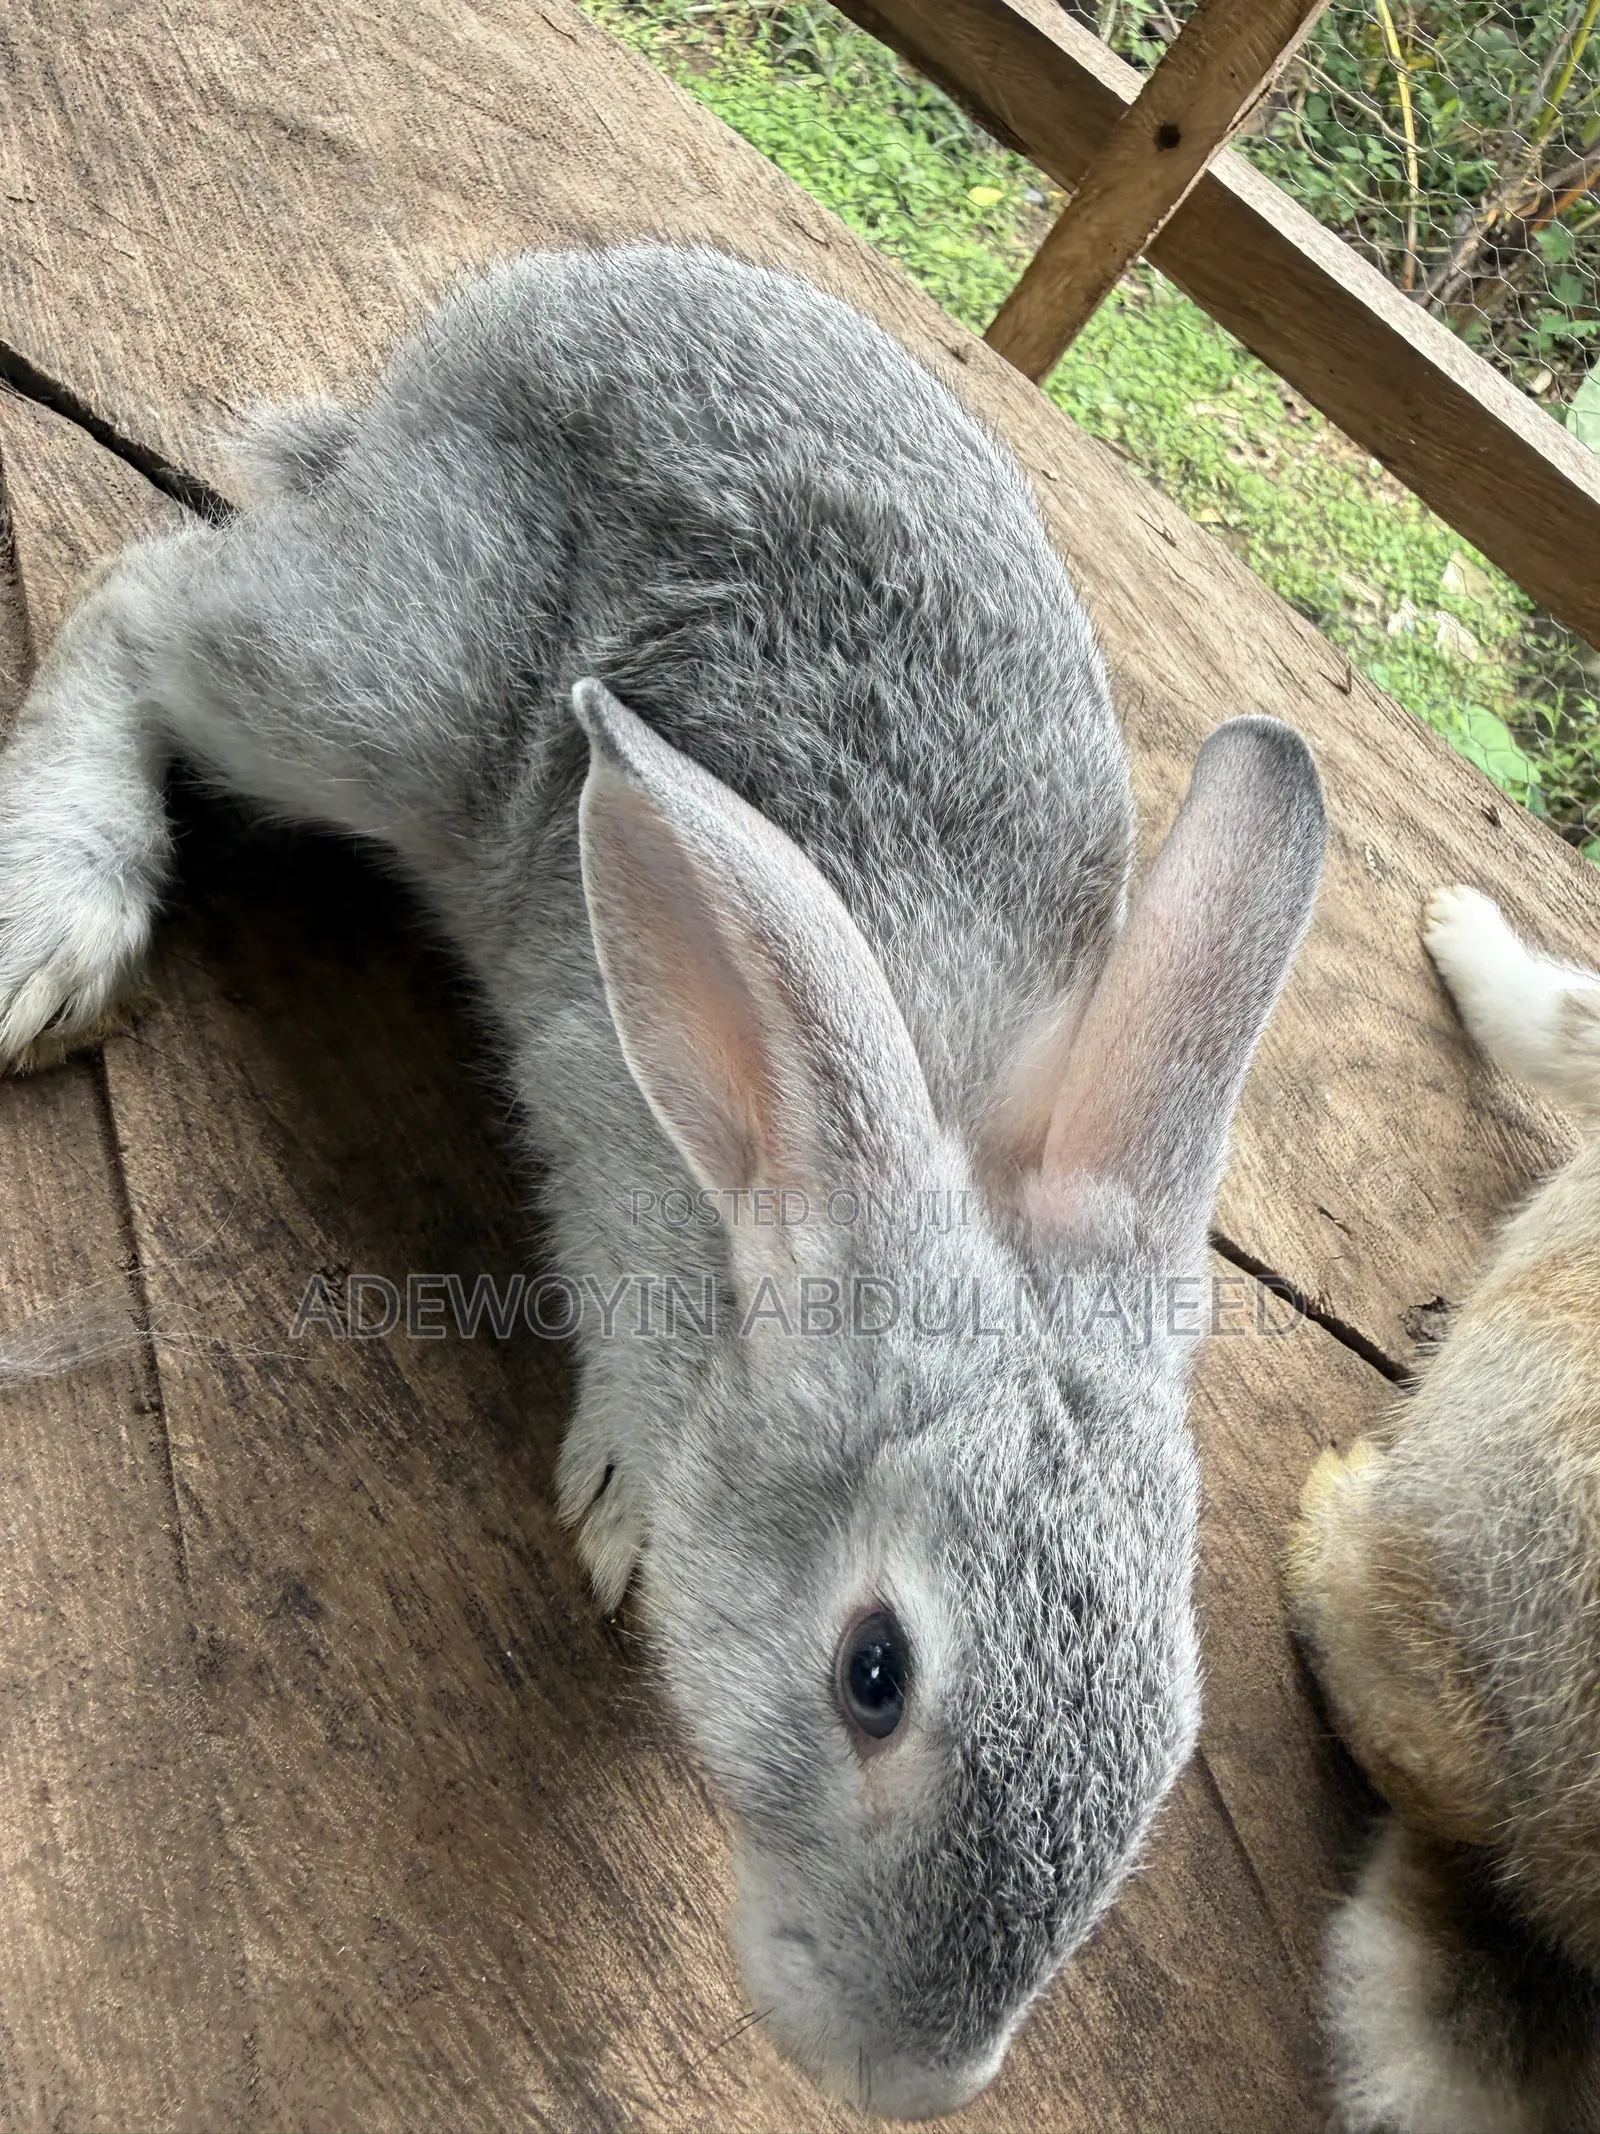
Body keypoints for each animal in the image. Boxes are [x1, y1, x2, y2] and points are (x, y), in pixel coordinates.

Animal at [0, 244, 1324, 2116]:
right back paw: (58, 925)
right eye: (871, 1671)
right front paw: (622, 1508)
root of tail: (512, 313)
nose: (914, 2073)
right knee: (149, 593)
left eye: (1173, 1726)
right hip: (392, 689)